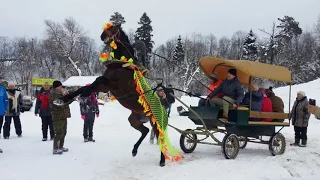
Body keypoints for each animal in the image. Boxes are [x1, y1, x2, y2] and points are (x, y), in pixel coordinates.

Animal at [52, 22, 182, 166]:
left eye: (114, 28)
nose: (102, 36)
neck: (122, 66)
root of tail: (164, 111)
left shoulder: (115, 86)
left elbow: (97, 81)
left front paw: (84, 95)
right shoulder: (105, 86)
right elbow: (88, 86)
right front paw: (62, 99)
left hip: (156, 124)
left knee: (160, 140)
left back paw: (162, 160)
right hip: (134, 120)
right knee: (145, 131)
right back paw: (134, 150)